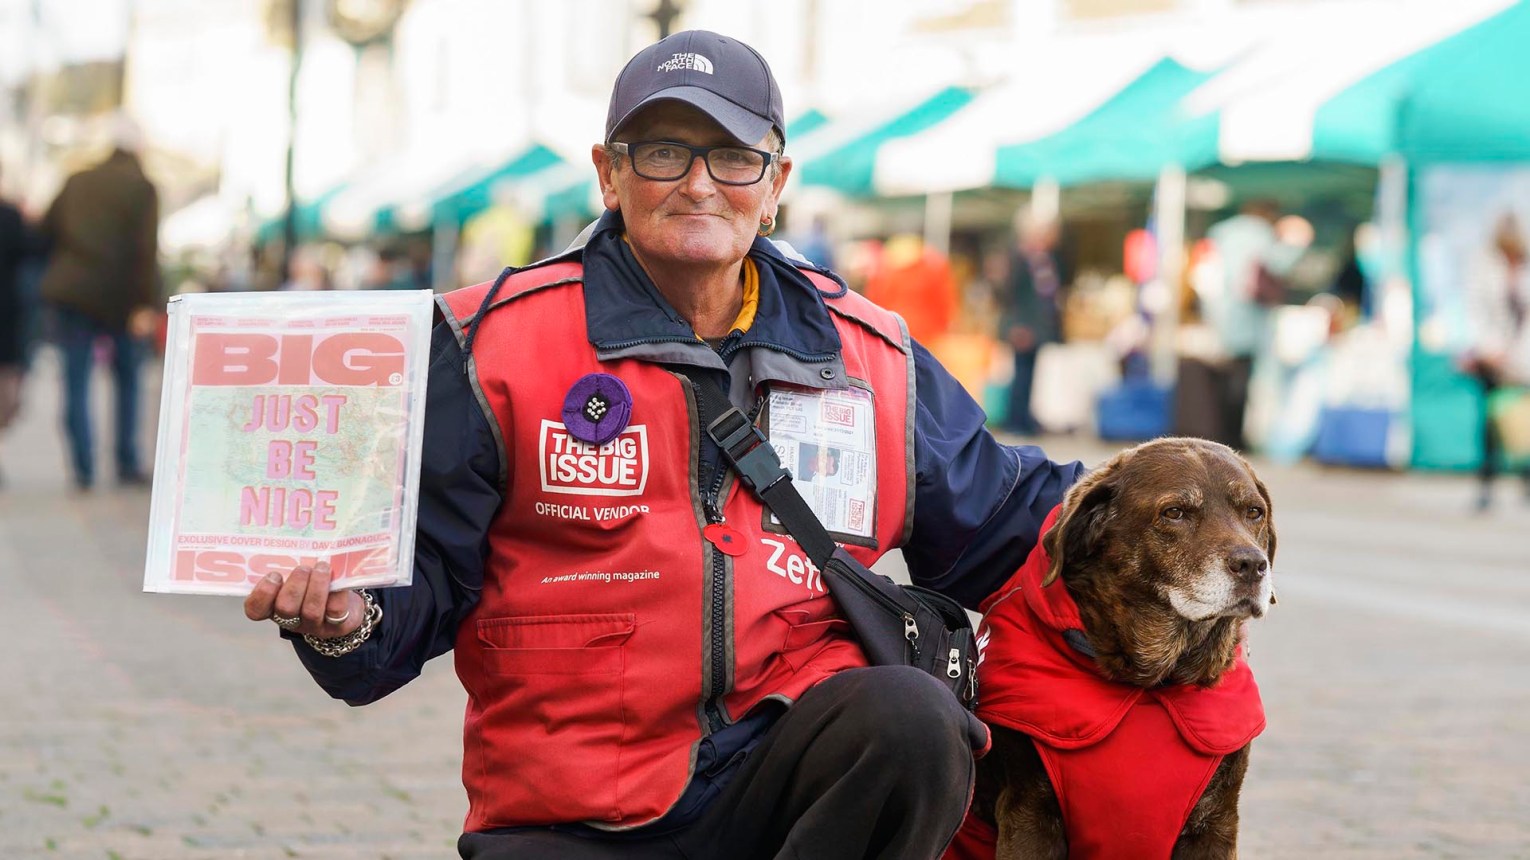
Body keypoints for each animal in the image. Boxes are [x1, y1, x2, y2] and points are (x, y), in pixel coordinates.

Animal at [966, 437, 1279, 850]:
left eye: (1254, 512)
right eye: (1174, 512)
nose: (1253, 565)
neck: (1153, 683)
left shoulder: (1216, 823)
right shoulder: (1029, 814)